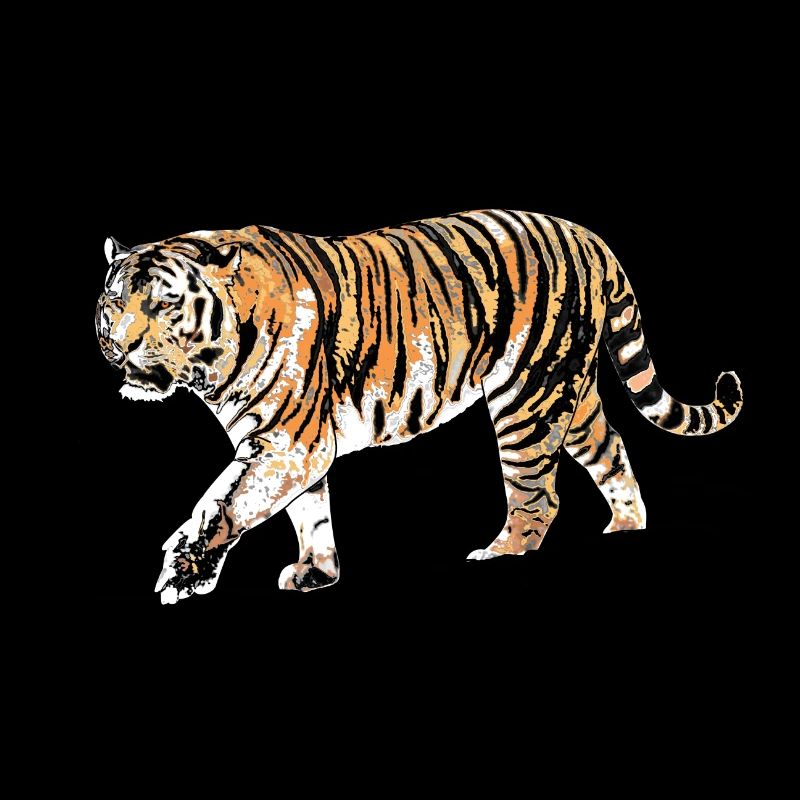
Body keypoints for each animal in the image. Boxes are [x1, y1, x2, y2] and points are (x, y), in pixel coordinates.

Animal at [96, 210, 743, 604]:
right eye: (113, 301)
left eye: (164, 303)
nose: (120, 345)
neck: (211, 367)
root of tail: (588, 235)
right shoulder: (294, 445)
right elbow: (308, 512)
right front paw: (317, 573)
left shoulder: (287, 439)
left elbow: (222, 501)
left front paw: (183, 572)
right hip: (570, 392)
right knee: (612, 450)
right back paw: (626, 530)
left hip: (526, 396)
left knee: (538, 493)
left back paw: (499, 555)